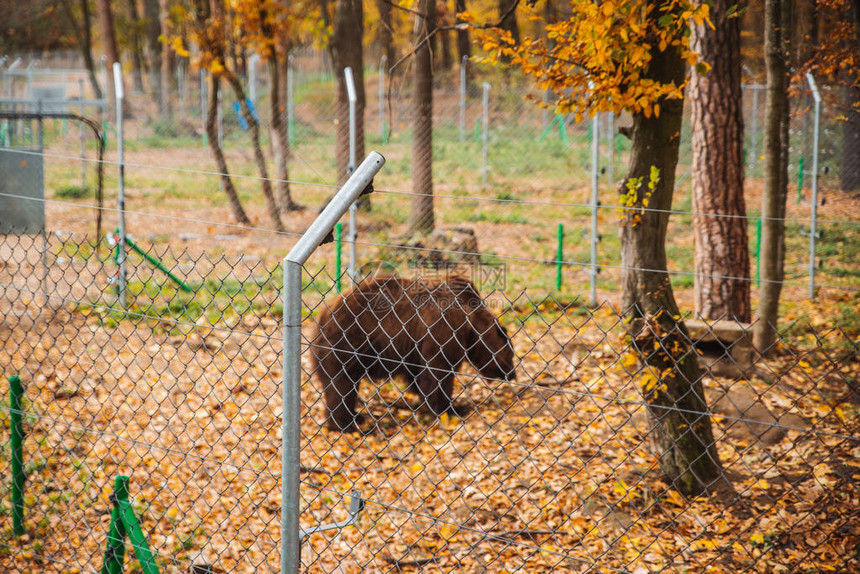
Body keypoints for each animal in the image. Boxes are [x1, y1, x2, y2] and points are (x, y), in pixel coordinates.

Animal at [310, 276, 516, 432]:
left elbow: (419, 376)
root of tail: (321, 317)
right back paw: (346, 425)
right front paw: (453, 408)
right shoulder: (443, 328)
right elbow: (438, 372)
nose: (512, 374)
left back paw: (355, 416)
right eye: (511, 356)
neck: (470, 324)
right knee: (341, 384)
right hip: (346, 342)